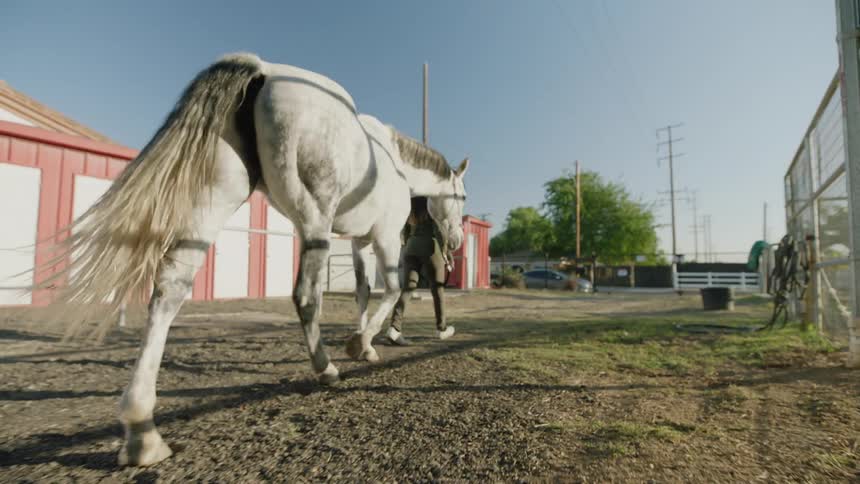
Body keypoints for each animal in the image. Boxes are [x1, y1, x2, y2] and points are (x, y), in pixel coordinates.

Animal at [37, 52, 470, 466]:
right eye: (462, 196)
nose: (457, 241)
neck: (394, 163)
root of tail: (263, 71)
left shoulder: (358, 242)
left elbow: (363, 293)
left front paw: (366, 346)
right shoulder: (382, 238)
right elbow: (391, 289)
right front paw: (359, 344)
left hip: (215, 203)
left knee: (170, 288)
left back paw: (142, 430)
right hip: (312, 220)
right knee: (306, 297)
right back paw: (325, 368)